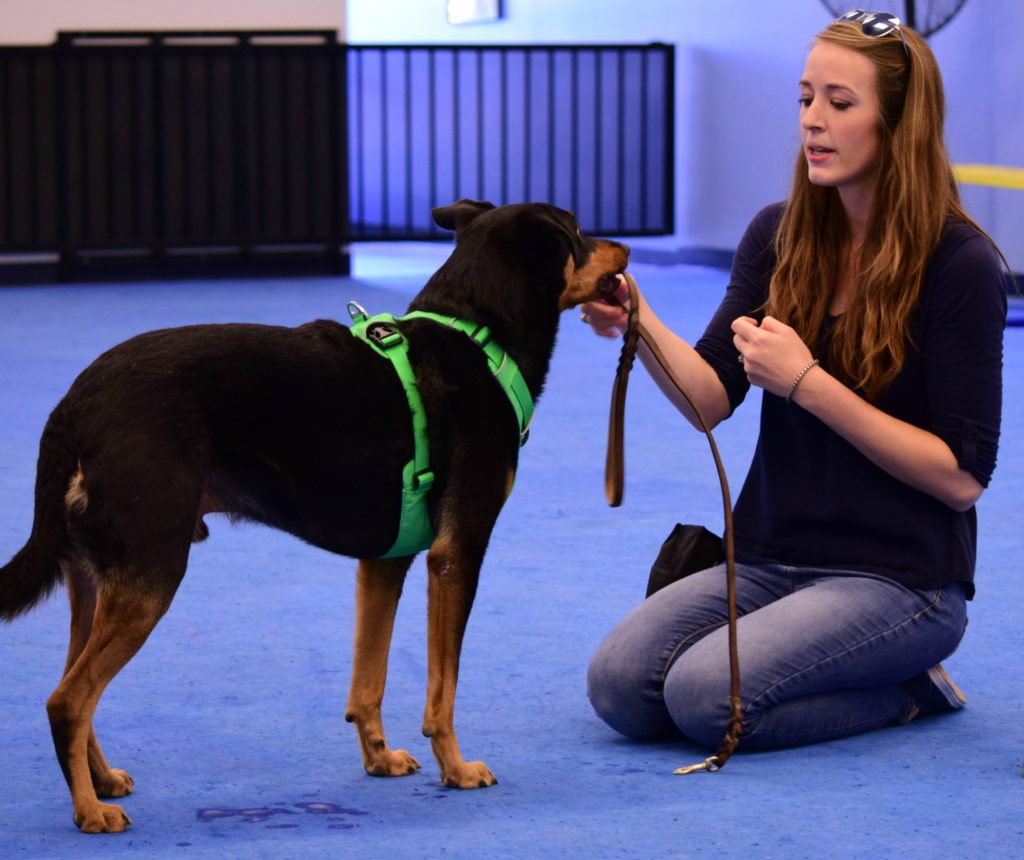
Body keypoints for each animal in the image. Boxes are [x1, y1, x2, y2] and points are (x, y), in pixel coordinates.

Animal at [0, 201, 626, 831]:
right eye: (578, 232)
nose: (623, 250)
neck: (476, 332)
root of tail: (74, 406)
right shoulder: (457, 553)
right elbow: (442, 689)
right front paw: (456, 768)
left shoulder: (386, 561)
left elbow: (367, 682)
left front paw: (379, 760)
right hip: (149, 576)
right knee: (67, 700)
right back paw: (88, 810)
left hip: (98, 579)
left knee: (74, 689)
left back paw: (101, 781)